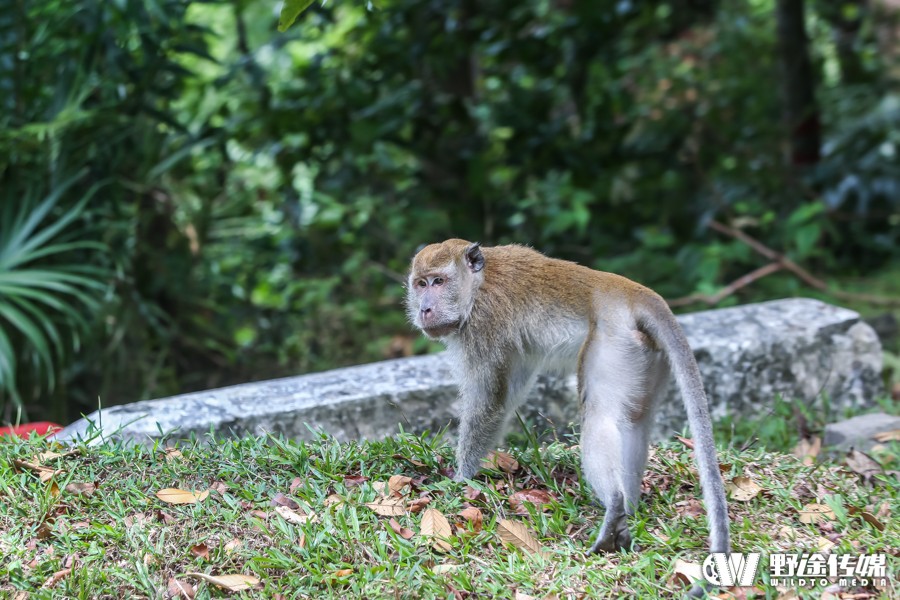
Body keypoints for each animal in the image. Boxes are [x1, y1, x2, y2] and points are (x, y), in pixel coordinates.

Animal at [408, 237, 732, 568]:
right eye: (420, 284)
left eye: (438, 281)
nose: (425, 309)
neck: (478, 284)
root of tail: (628, 290)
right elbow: (506, 394)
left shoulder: (483, 325)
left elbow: (489, 401)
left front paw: (461, 479)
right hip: (646, 353)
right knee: (635, 422)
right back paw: (627, 510)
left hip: (611, 344)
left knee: (600, 416)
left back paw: (615, 507)